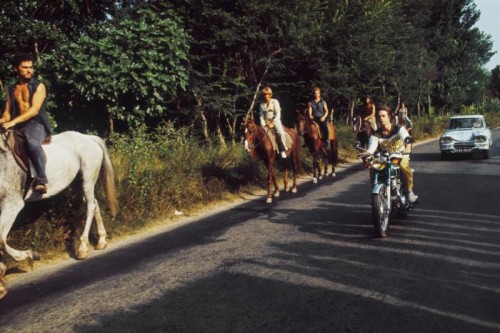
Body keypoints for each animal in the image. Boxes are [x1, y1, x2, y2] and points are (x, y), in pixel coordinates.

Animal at [0, 130, 118, 262]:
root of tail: (89, 138)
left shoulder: (12, 203)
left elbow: (1, 240)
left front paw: (30, 254)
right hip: (79, 184)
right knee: (94, 203)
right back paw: (101, 241)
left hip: (88, 179)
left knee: (90, 206)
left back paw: (82, 248)